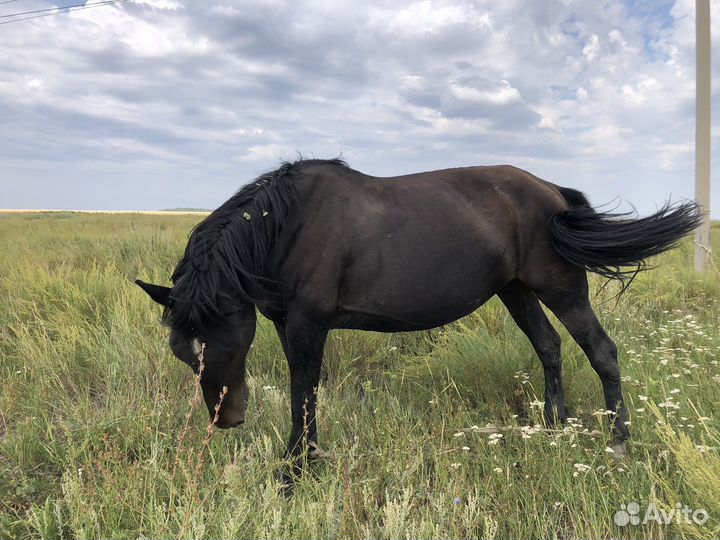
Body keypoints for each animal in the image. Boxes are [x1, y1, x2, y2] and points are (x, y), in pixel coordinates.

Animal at [136, 158, 700, 483]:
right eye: (183, 354)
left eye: (220, 344)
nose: (227, 420)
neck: (288, 225)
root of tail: (551, 190)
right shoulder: (283, 323)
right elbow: (305, 392)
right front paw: (303, 461)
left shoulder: (307, 325)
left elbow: (304, 392)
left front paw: (296, 470)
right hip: (516, 291)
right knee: (549, 347)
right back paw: (551, 427)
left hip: (560, 288)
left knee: (601, 350)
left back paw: (619, 443)